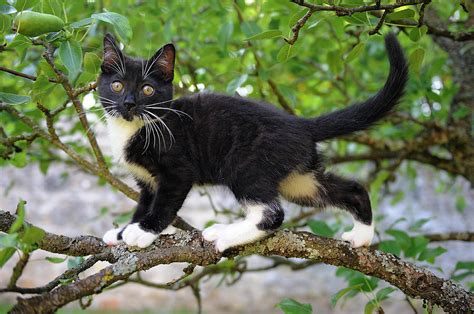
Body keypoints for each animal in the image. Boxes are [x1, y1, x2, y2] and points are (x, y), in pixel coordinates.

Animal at [99, 33, 408, 251]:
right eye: (117, 85)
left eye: (147, 90)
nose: (128, 103)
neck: (137, 126)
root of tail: (298, 123)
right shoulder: (146, 181)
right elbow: (144, 203)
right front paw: (123, 231)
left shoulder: (177, 171)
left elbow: (163, 204)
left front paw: (142, 232)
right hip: (298, 179)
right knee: (349, 189)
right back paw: (362, 235)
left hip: (246, 163)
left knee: (272, 214)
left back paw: (224, 234)